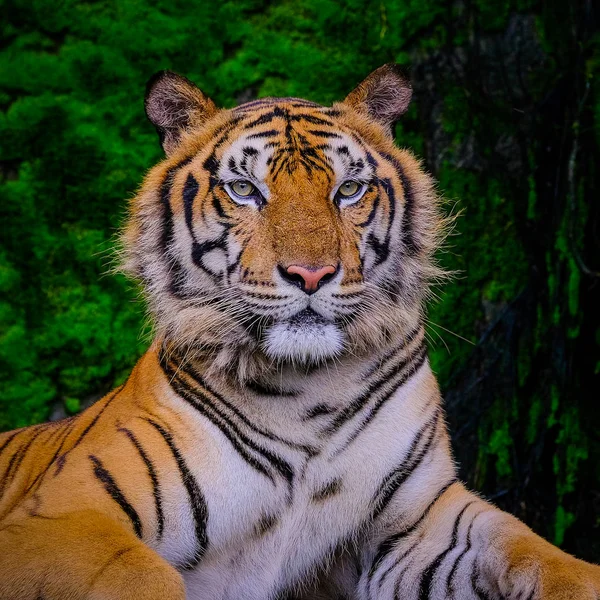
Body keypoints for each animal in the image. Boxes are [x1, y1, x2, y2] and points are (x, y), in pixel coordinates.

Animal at [1, 65, 600, 600]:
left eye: (349, 189)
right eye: (245, 189)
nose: (310, 275)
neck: (307, 390)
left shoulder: (419, 519)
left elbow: (541, 555)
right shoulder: (63, 513)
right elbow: (142, 577)